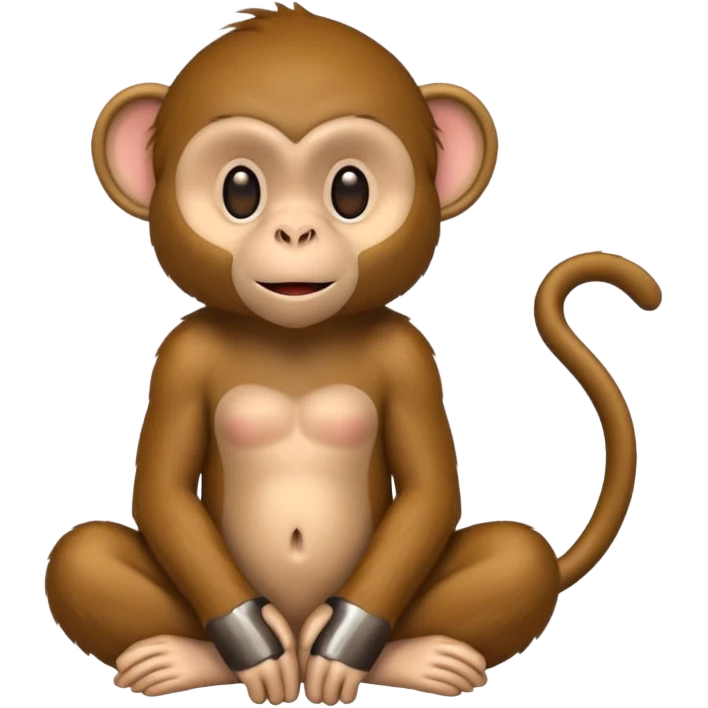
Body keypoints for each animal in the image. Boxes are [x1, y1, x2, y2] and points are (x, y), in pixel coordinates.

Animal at [46, 3, 663, 704]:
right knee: (79, 554)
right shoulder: (180, 354)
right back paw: (178, 658)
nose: (295, 231)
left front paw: (338, 653)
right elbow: (162, 491)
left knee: (518, 555)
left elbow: (428, 489)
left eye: (350, 190)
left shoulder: (410, 355)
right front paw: (259, 654)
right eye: (240, 190)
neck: (296, 339)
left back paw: (422, 658)